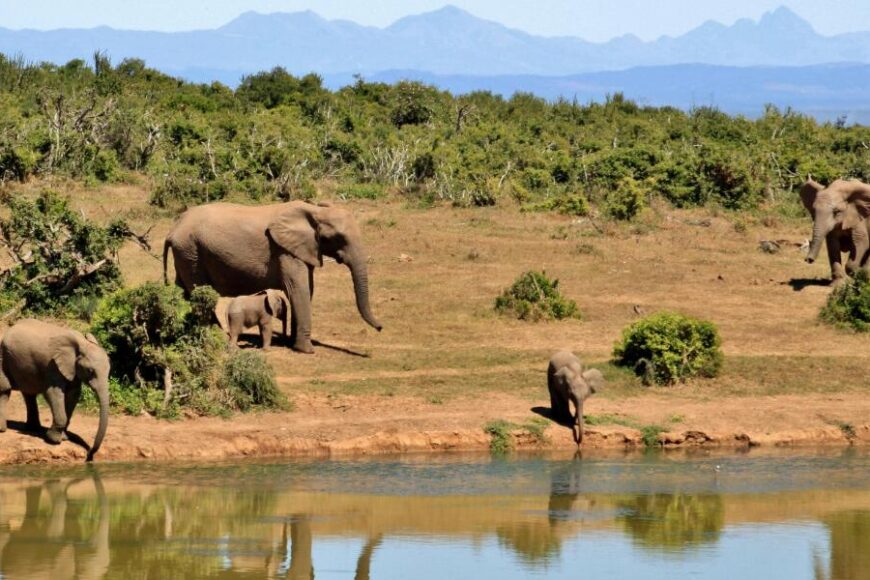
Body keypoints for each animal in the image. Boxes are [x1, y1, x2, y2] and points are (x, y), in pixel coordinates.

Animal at [0, 319, 109, 461]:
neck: (81, 344)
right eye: (90, 371)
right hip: (4, 357)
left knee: (29, 394)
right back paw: (3, 430)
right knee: (5, 390)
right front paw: (54, 440)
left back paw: (33, 429)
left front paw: (64, 438)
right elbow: (53, 393)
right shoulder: (53, 366)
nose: (89, 455)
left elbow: (73, 395)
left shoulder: (72, 370)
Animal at [163, 200, 382, 354]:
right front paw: (306, 350)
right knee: (199, 292)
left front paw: (293, 343)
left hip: (186, 253)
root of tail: (173, 229)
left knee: (183, 290)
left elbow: (306, 290)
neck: (314, 211)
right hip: (191, 251)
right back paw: (217, 336)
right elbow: (299, 290)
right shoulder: (285, 251)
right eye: (339, 238)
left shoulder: (302, 249)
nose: (380, 328)